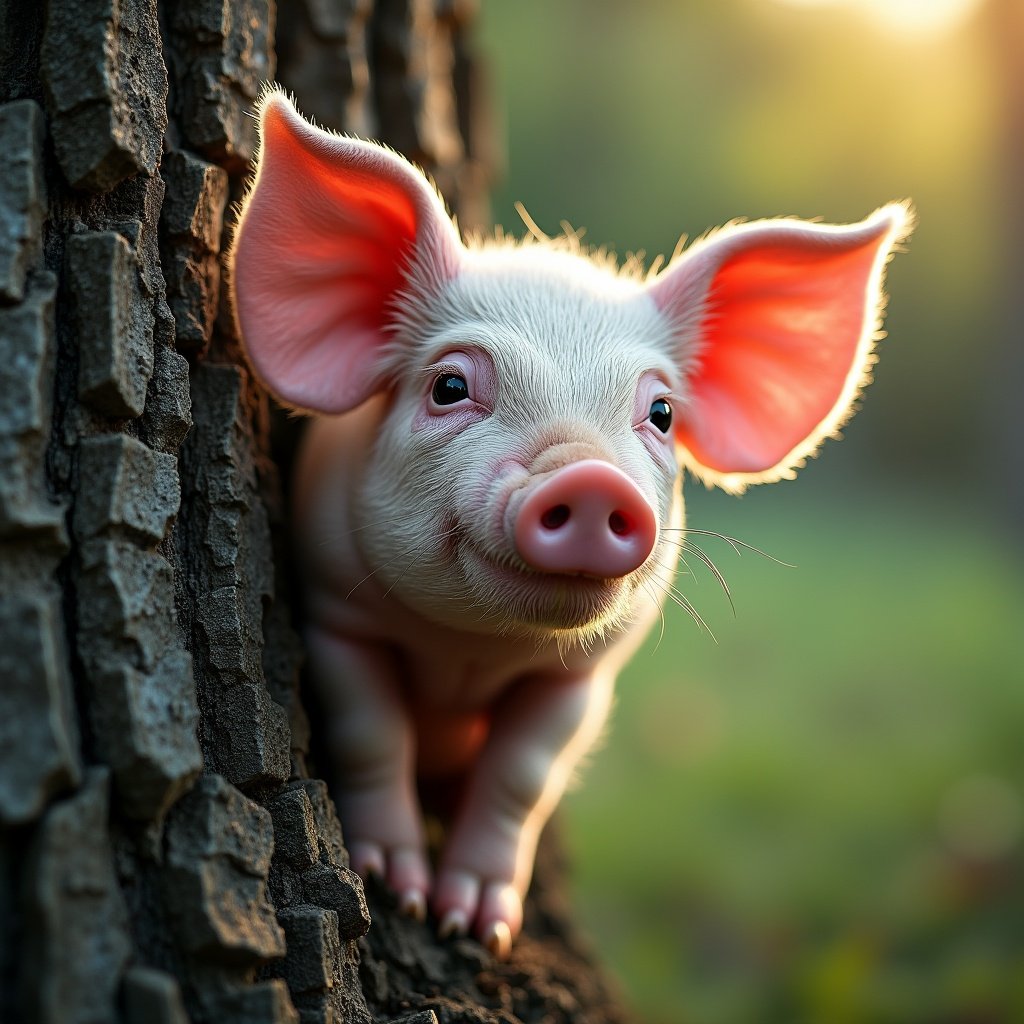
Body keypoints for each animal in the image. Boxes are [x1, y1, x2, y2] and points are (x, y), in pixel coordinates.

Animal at [234, 90, 913, 958]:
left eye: (661, 413)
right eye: (449, 386)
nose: (589, 478)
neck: (470, 652)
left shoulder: (581, 678)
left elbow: (524, 775)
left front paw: (476, 927)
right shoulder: (336, 614)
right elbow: (370, 732)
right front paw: (402, 893)